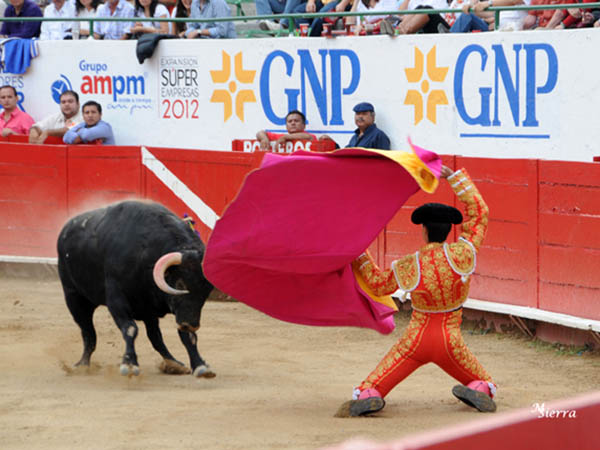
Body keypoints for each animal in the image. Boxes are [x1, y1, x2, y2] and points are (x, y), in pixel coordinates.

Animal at [57, 200, 215, 378]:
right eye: (180, 284)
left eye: (206, 290)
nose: (191, 324)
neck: (145, 252)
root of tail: (66, 228)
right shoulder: (116, 300)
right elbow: (130, 329)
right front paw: (130, 364)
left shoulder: (170, 309)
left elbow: (187, 336)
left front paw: (200, 365)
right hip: (74, 298)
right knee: (88, 332)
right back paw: (83, 364)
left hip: (148, 312)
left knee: (155, 336)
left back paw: (173, 362)